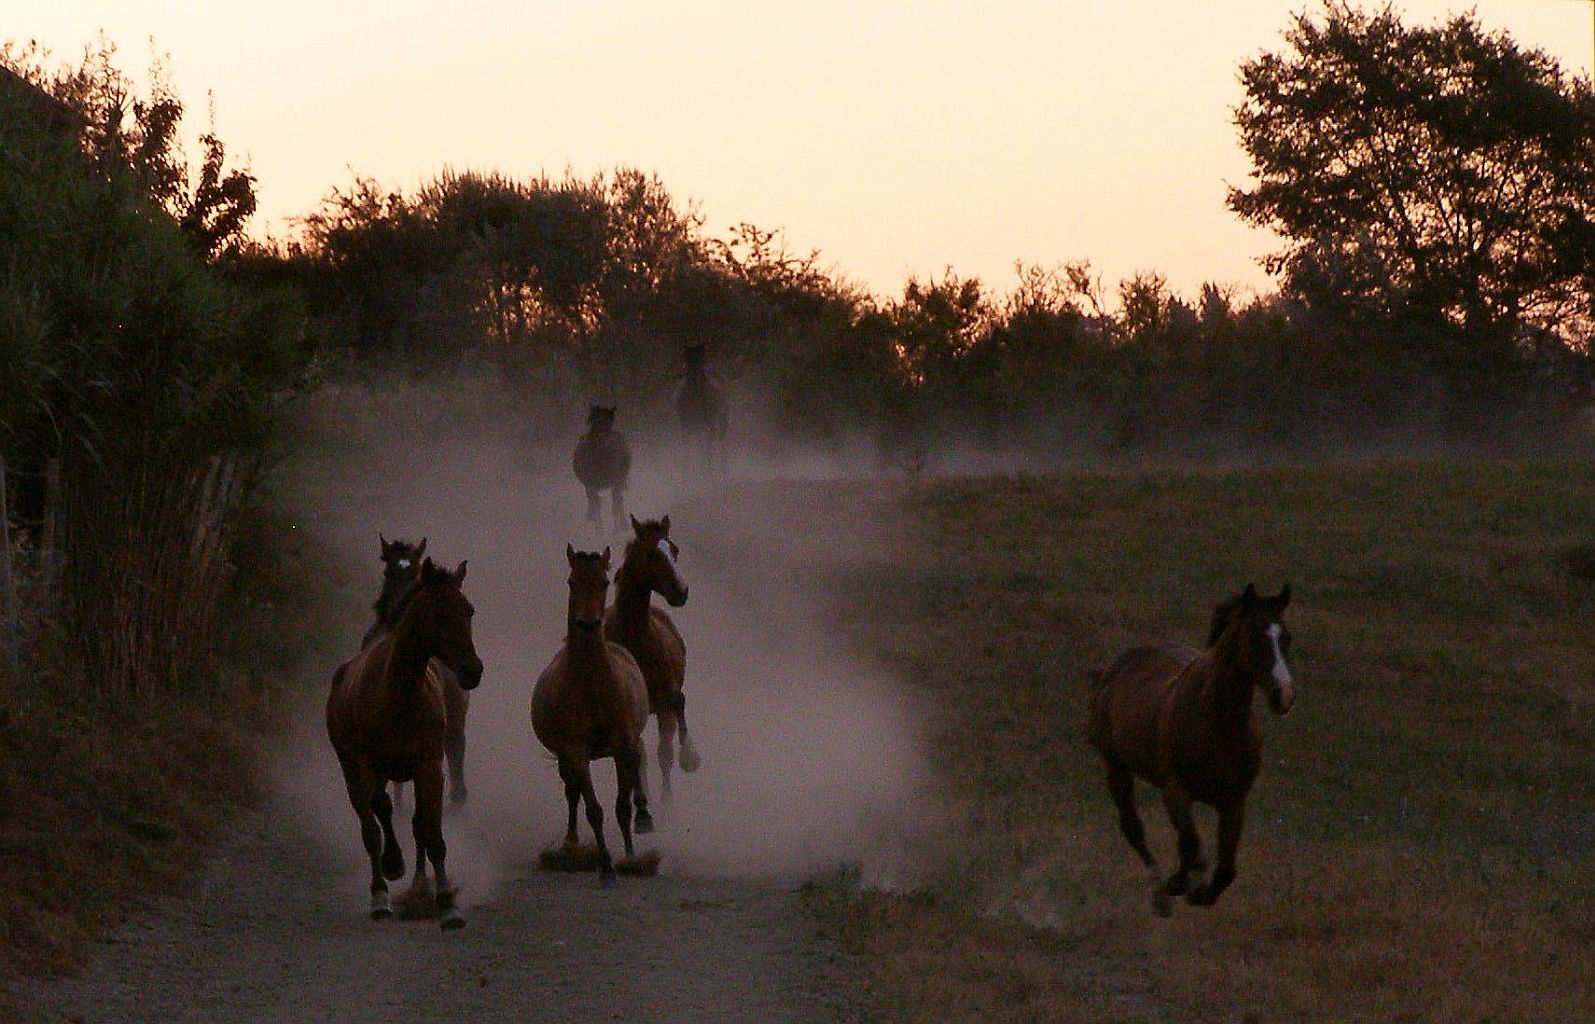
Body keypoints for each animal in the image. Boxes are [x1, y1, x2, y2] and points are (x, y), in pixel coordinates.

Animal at [531, 545, 652, 885]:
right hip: (564, 756)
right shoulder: (576, 750)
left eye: (605, 581)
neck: (591, 681)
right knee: (572, 793)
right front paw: (606, 866)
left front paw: (630, 857)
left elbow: (622, 808)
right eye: (572, 581)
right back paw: (571, 844)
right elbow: (593, 809)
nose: (587, 624)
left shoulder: (623, 746)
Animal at [604, 514, 699, 806]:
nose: (681, 591)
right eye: (650, 554)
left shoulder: (666, 700)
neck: (637, 642)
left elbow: (677, 707)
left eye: (675, 549)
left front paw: (689, 756)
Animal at [675, 344, 729, 475]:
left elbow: (707, 448)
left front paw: (707, 471)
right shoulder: (686, 423)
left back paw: (722, 471)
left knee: (721, 444)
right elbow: (689, 447)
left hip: (721, 419)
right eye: (686, 359)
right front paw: (688, 471)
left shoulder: (709, 423)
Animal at [1086, 583, 1295, 916]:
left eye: (1286, 637)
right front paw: (1180, 885)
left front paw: (1202, 893)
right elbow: (1190, 846)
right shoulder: (1176, 791)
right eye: (1253, 635)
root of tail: (1114, 667)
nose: (1284, 695)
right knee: (1133, 829)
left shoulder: (1234, 801)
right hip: (1116, 768)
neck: (1217, 724)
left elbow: (1225, 868)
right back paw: (1161, 894)